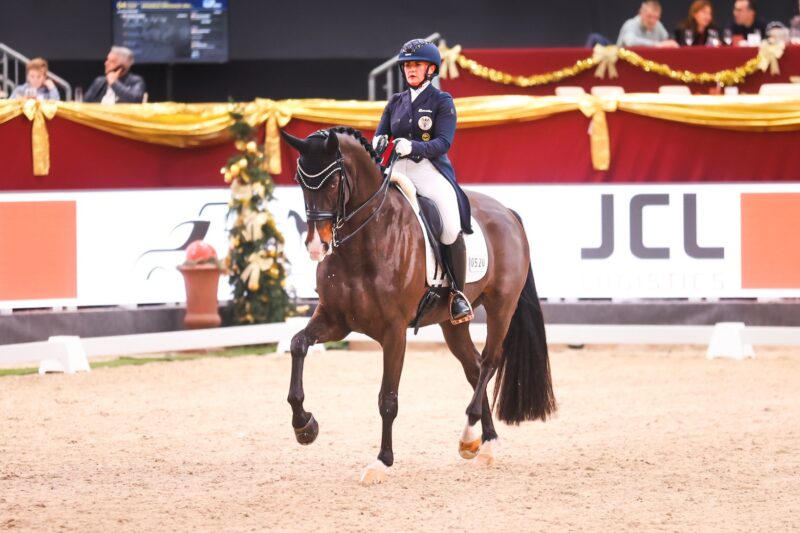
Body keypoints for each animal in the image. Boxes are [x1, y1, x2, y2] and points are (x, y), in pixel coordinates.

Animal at [278, 127, 552, 484]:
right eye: (299, 180)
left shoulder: (394, 331)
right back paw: (485, 442)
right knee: (474, 367)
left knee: (489, 363)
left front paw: (382, 461)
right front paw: (304, 425)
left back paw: (469, 436)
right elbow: (298, 344)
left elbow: (387, 399)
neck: (364, 239)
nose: (316, 245)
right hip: (452, 323)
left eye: (335, 181)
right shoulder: (335, 319)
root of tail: (507, 213)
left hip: (501, 307)